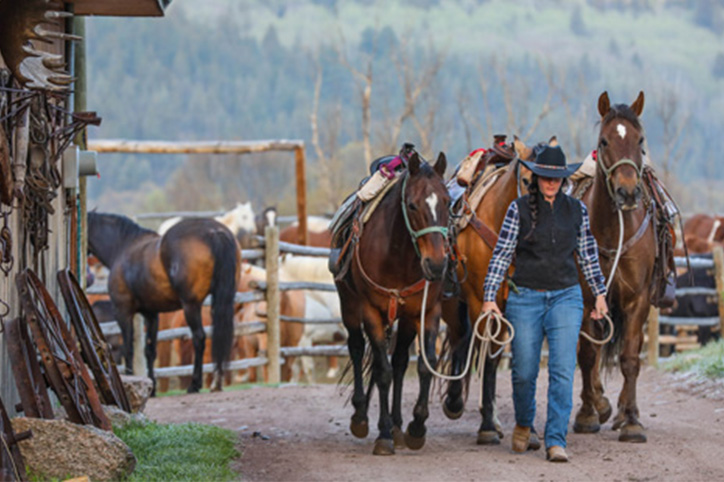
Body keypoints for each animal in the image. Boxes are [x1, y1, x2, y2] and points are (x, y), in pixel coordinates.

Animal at [87, 213, 240, 394]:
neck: (123, 247)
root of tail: (215, 232)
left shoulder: (123, 312)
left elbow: (128, 349)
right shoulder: (152, 314)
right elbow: (150, 350)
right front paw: (151, 387)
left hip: (191, 306)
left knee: (199, 338)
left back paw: (195, 384)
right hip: (222, 299)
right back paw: (216, 382)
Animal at [336, 152, 450, 456]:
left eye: (447, 201)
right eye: (412, 205)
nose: (437, 264)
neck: (397, 253)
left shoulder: (426, 312)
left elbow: (424, 364)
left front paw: (416, 427)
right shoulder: (371, 312)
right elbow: (382, 371)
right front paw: (383, 434)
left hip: (405, 318)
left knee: (398, 361)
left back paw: (399, 426)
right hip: (349, 306)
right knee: (357, 349)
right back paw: (362, 417)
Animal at [572, 92, 660, 442]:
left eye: (641, 140)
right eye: (604, 141)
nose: (627, 191)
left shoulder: (637, 299)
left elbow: (630, 358)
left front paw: (632, 420)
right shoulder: (587, 300)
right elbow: (587, 355)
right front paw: (588, 413)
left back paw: (621, 411)